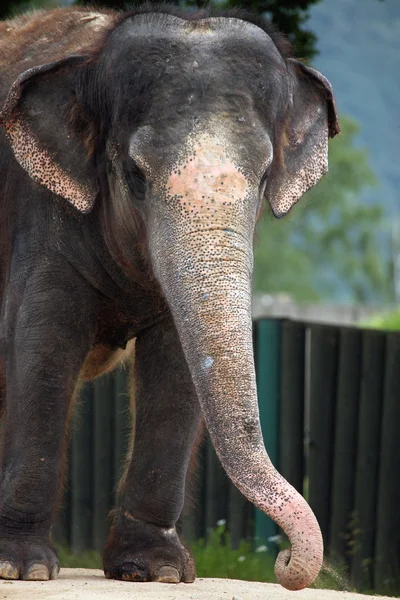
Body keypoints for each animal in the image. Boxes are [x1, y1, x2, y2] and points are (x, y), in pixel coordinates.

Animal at [0, 4, 340, 592]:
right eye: (136, 175)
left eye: (265, 175)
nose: (284, 564)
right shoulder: (39, 213)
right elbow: (40, 345)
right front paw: (21, 568)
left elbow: (176, 367)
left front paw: (155, 570)